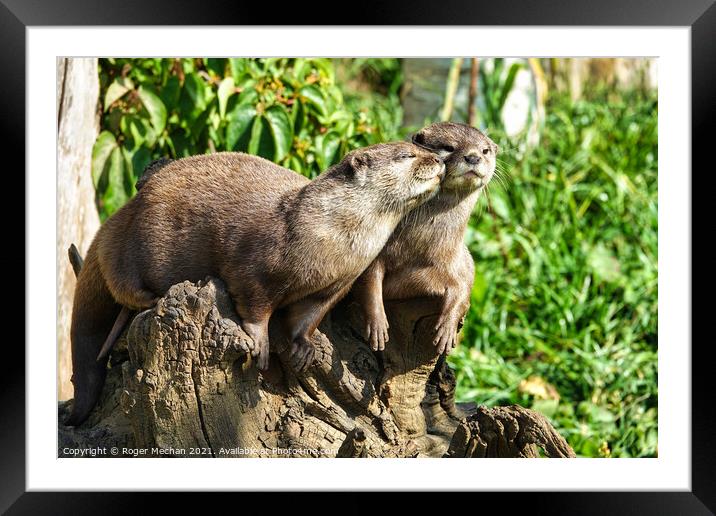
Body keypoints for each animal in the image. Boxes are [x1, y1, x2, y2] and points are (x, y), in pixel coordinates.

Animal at [65, 143, 442, 426]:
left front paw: (303, 347)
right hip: (134, 243)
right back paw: (149, 299)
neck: (331, 237)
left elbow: (308, 317)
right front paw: (260, 345)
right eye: (406, 155)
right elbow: (255, 306)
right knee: (124, 286)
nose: (438, 159)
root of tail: (126, 209)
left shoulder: (335, 286)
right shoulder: (255, 269)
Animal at [350, 121, 496, 354]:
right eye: (449, 147)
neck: (417, 251)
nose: (473, 157)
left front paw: (447, 328)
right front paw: (377, 324)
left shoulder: (461, 264)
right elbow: (369, 280)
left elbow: (463, 291)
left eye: (485, 150)